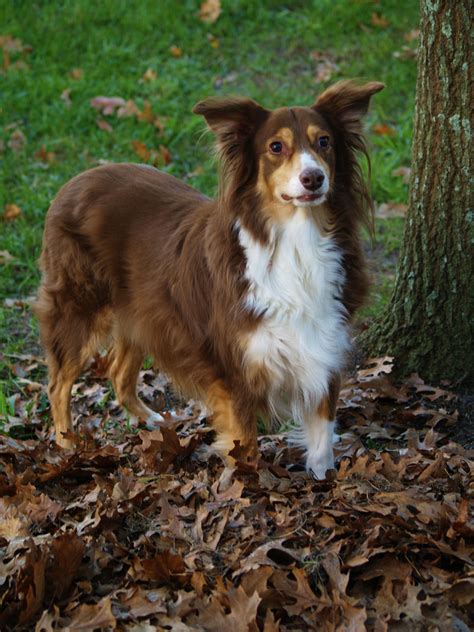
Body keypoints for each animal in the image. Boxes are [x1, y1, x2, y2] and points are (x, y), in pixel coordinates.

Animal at [36, 79, 386, 476]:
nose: (313, 178)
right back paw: (67, 446)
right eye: (276, 147)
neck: (296, 241)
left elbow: (323, 433)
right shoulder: (233, 370)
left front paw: (324, 478)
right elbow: (245, 447)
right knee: (58, 384)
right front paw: (248, 483)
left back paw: (150, 421)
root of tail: (77, 179)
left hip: (142, 312)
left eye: (324, 141)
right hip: (79, 306)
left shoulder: (324, 344)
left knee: (118, 373)